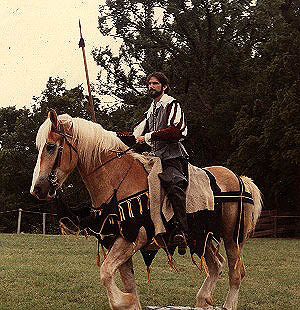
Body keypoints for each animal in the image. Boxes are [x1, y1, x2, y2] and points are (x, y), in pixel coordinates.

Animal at [29, 111, 262, 310]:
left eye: (50, 147)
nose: (38, 189)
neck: (116, 181)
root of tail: (240, 179)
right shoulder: (118, 241)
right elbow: (127, 283)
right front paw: (130, 300)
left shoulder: (132, 239)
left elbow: (106, 273)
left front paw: (125, 300)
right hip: (201, 238)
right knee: (216, 266)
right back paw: (203, 300)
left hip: (232, 238)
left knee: (236, 273)